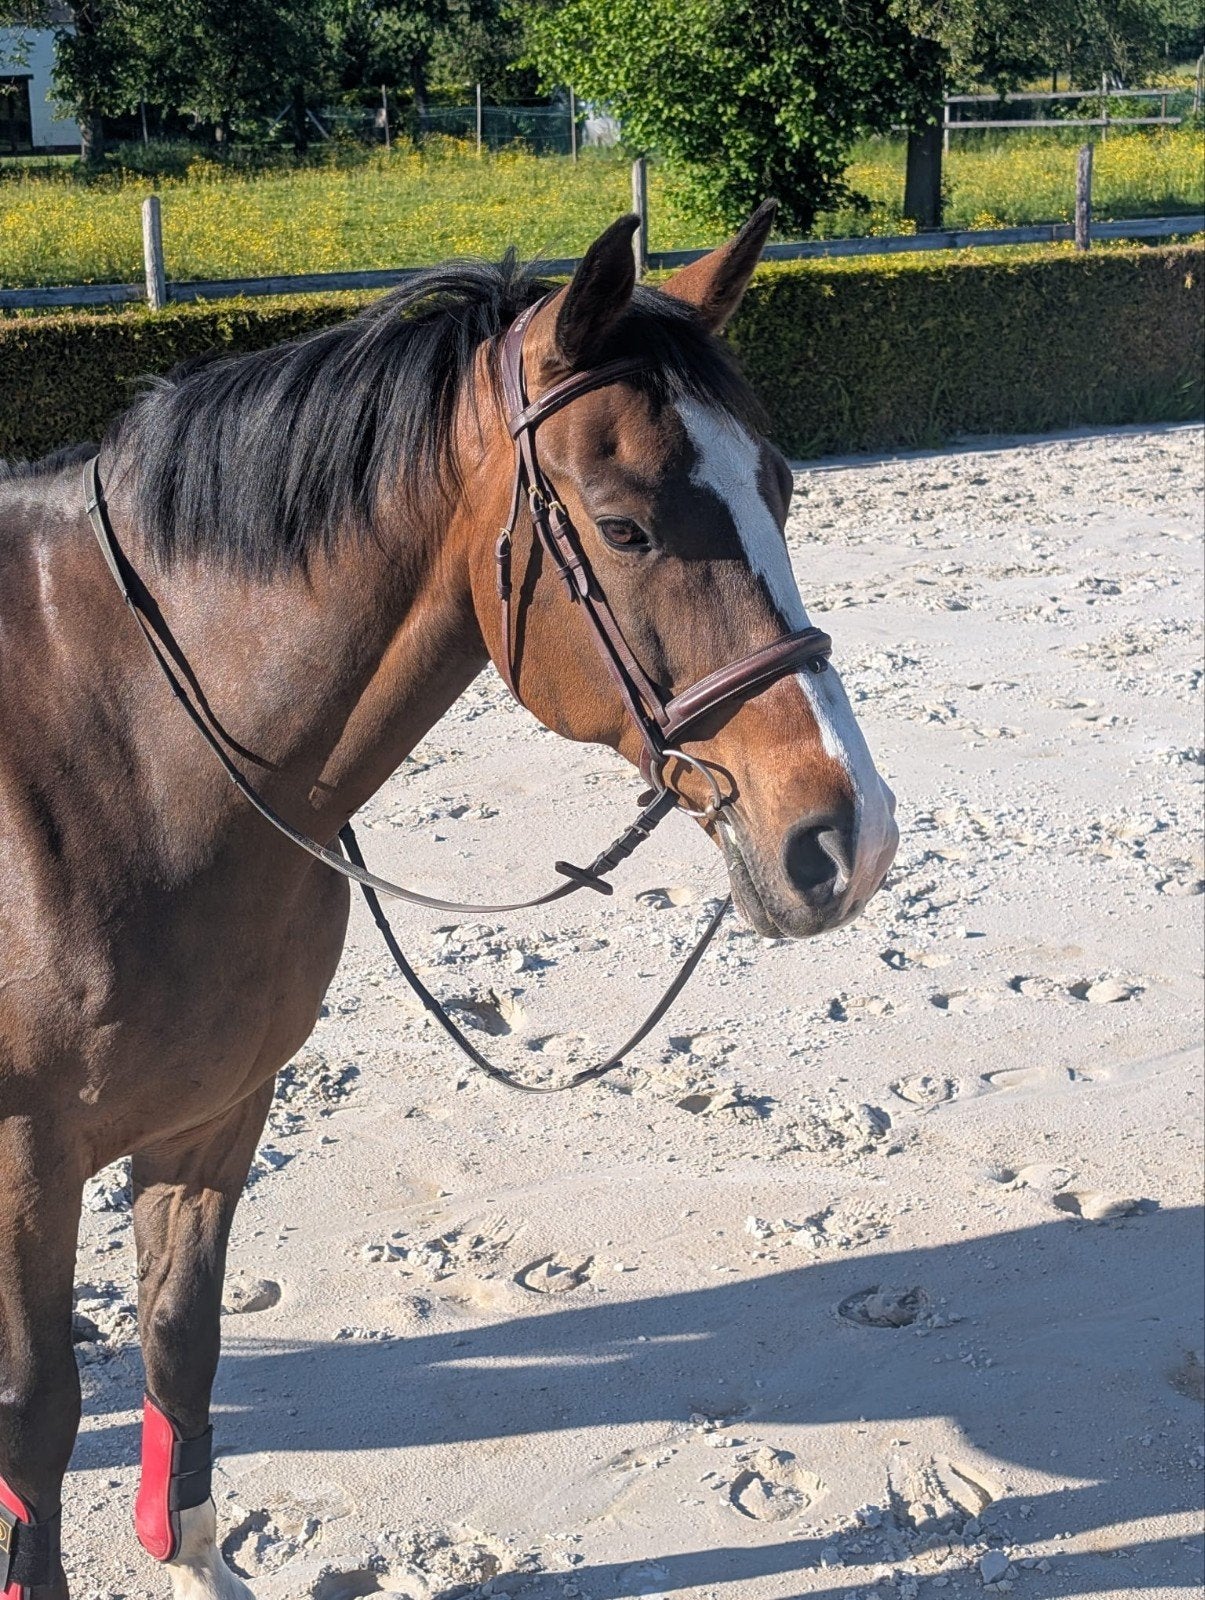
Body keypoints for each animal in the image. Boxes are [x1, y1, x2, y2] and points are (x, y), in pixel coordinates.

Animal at [0, 205, 898, 1600]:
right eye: (626, 529)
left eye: (781, 487)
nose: (843, 837)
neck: (128, 748)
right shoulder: (25, 1164)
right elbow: (39, 1421)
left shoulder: (212, 1118)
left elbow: (180, 1347)